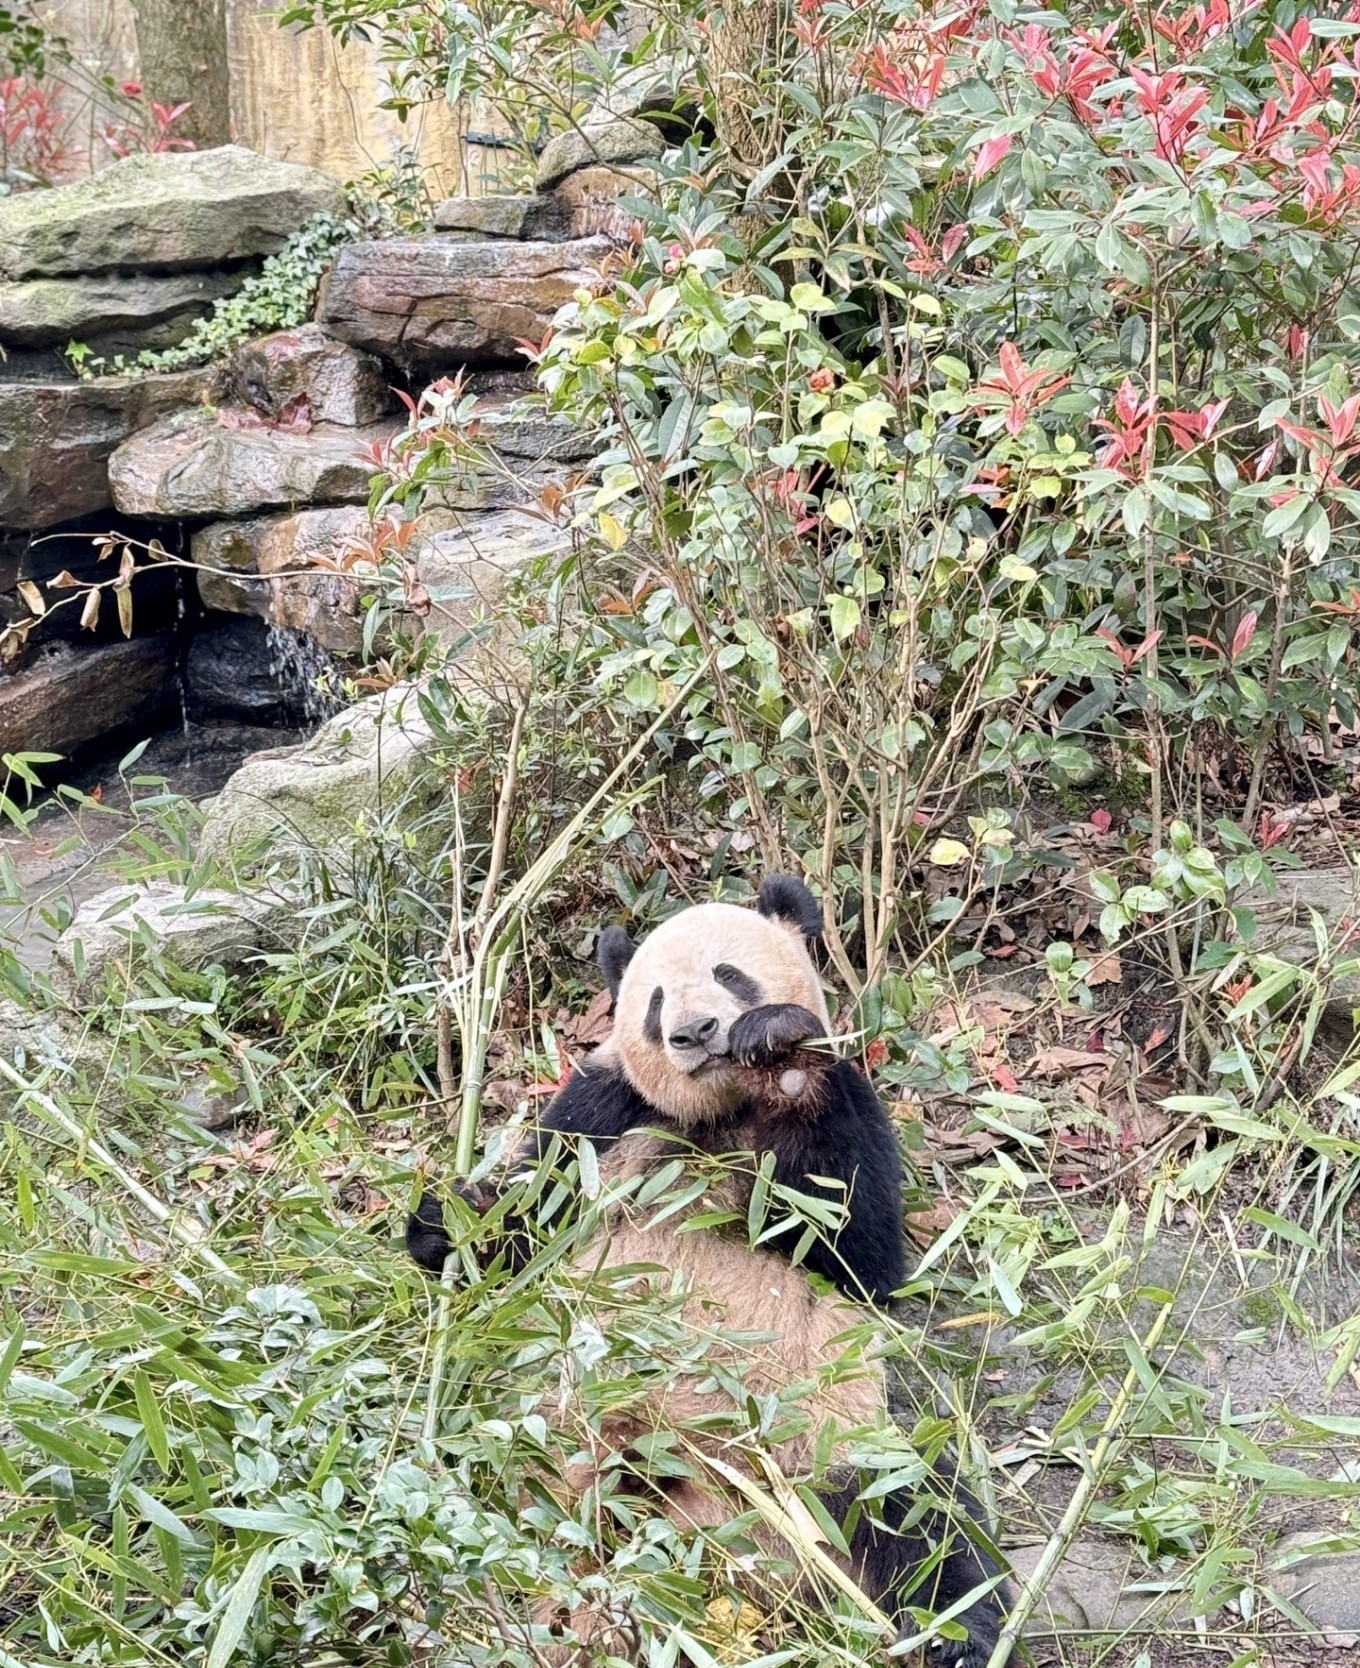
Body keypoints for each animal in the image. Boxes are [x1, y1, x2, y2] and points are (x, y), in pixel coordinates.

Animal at [408, 875, 1012, 1667]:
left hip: (830, 1445)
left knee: (928, 1523)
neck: (726, 1110)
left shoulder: (850, 1101)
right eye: (656, 1000)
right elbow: (528, 1221)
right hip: (542, 1431)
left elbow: (861, 1249)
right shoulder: (607, 1109)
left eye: (730, 974)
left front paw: (777, 1042)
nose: (694, 1033)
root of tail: (718, 1535)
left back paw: (957, 1639)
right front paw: (450, 1217)